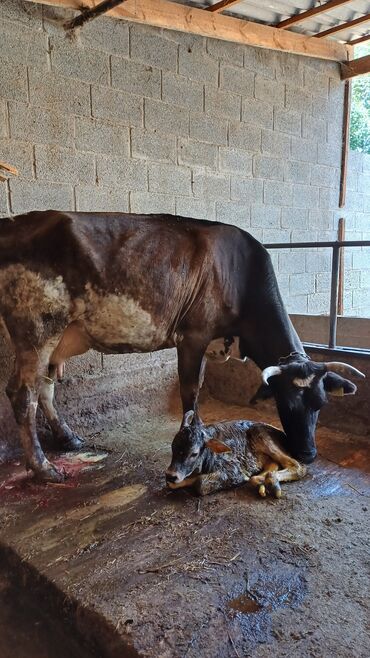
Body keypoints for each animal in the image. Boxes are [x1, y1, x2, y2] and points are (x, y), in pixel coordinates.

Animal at [0, 211, 364, 482]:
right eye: (284, 402)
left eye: (321, 403)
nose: (308, 454)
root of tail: (13, 222)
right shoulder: (193, 336)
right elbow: (190, 391)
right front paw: (191, 439)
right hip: (37, 327)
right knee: (24, 393)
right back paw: (43, 468)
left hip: (57, 335)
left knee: (45, 387)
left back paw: (67, 437)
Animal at [166, 410, 308, 498]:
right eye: (172, 447)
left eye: (194, 453)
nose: (171, 475)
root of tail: (281, 432)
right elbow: (172, 484)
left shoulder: (233, 469)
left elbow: (200, 483)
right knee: (271, 465)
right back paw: (262, 484)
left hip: (263, 436)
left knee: (297, 466)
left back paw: (271, 482)